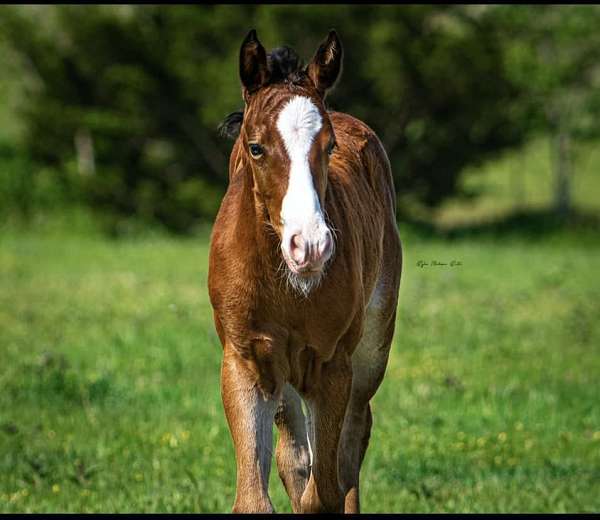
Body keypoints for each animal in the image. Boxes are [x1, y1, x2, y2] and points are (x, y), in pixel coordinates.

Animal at [207, 28, 404, 512]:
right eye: (255, 147)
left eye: (329, 146)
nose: (310, 245)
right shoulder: (245, 363)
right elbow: (256, 497)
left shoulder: (332, 367)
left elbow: (326, 491)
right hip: (285, 379)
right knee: (295, 458)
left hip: (370, 350)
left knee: (351, 449)